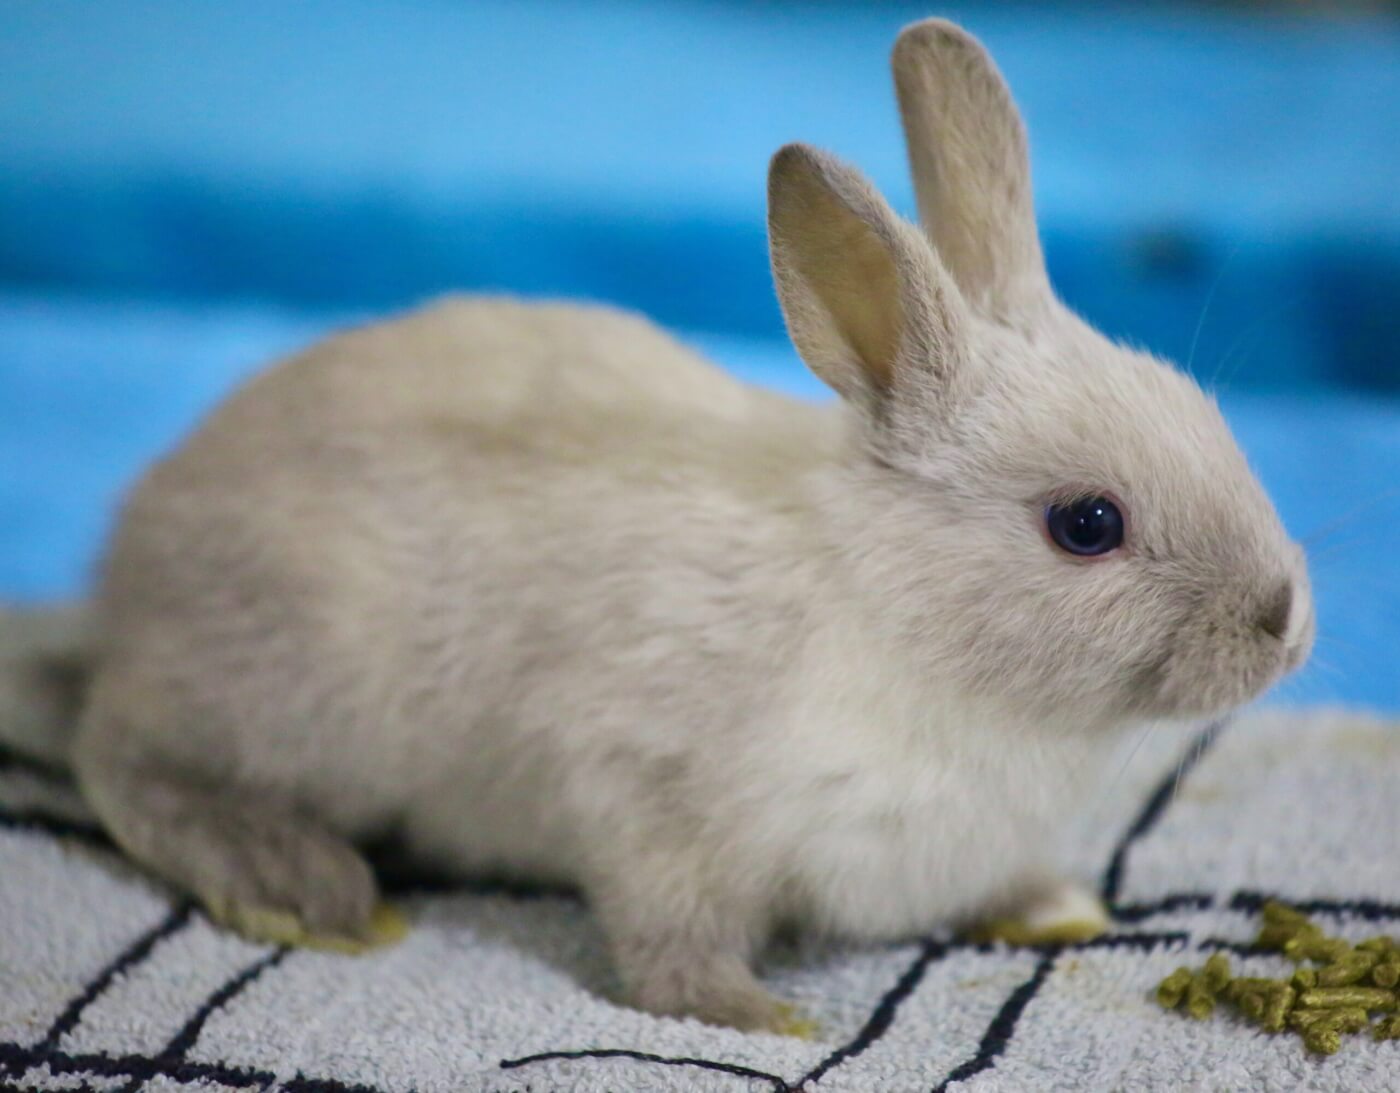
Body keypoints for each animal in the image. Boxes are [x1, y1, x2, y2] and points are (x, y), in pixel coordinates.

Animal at [2, 19, 1310, 1030]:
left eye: (1205, 413)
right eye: (1085, 523)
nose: (1283, 623)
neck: (896, 610)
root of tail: (125, 579)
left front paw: (1061, 910)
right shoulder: (651, 793)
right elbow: (667, 934)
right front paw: (756, 1017)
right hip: (294, 690)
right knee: (121, 753)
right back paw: (303, 886)